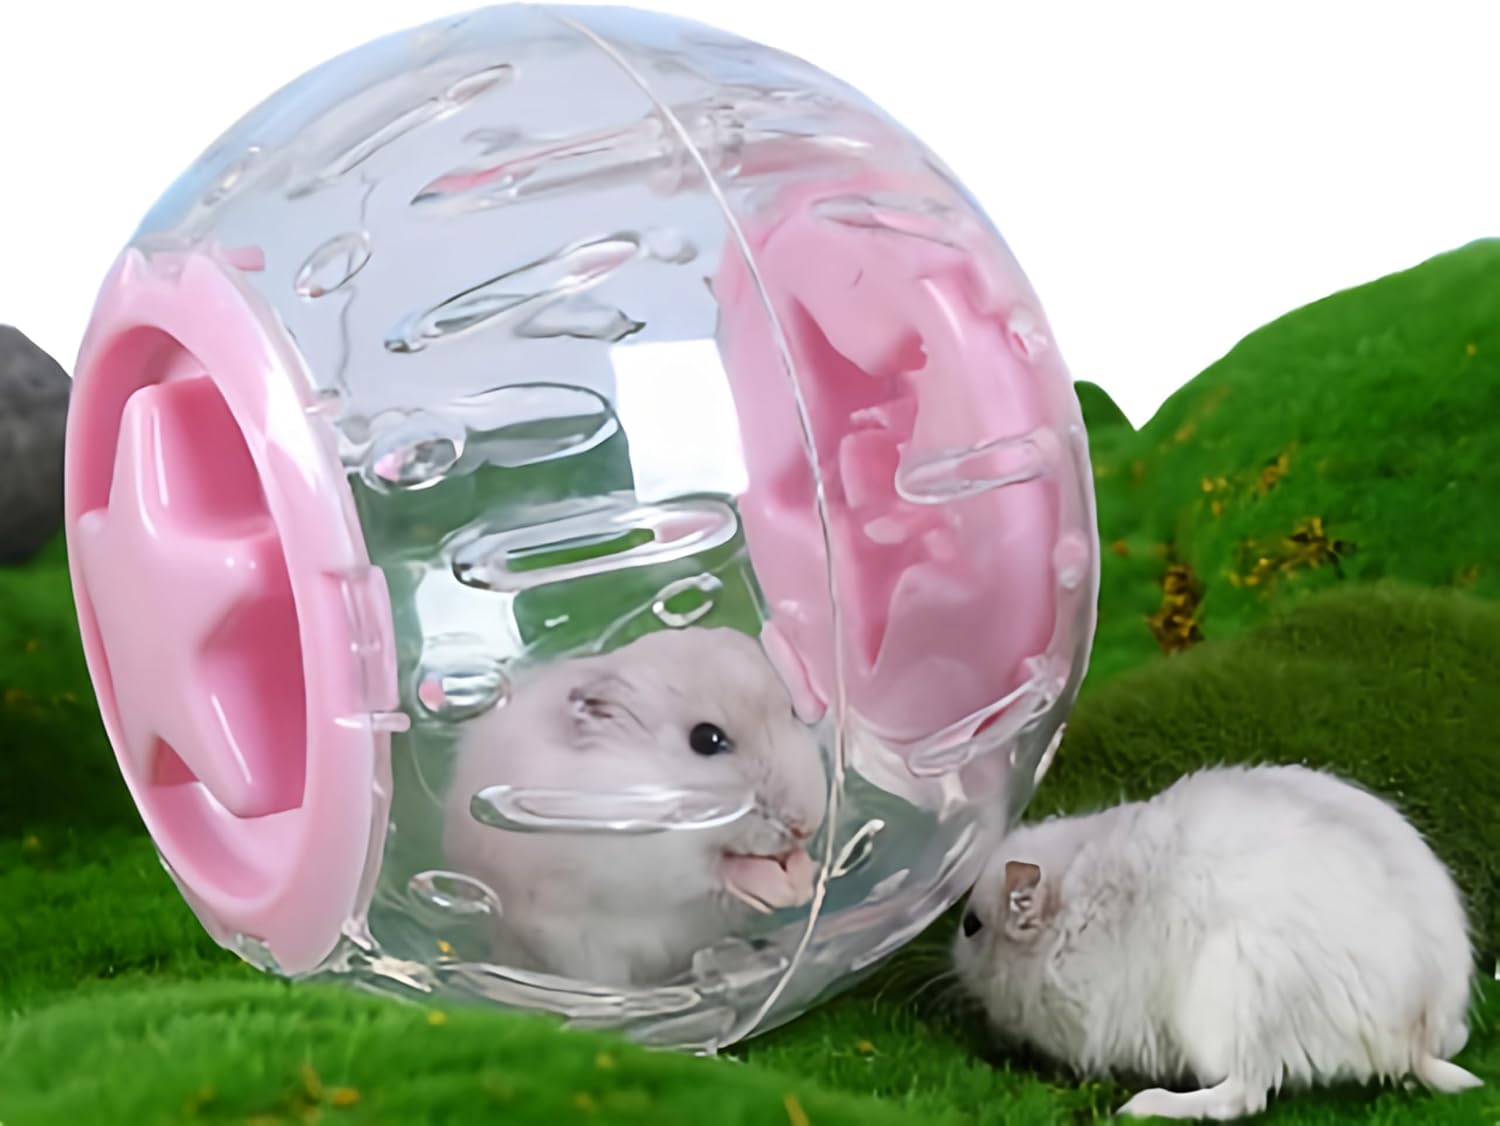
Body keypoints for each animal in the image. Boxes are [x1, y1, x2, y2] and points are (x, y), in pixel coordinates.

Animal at [443, 626, 828, 988]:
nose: (805, 825)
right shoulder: (640, 852)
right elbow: (713, 868)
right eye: (706, 739)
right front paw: (781, 890)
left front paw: (802, 881)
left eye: (794, 711)